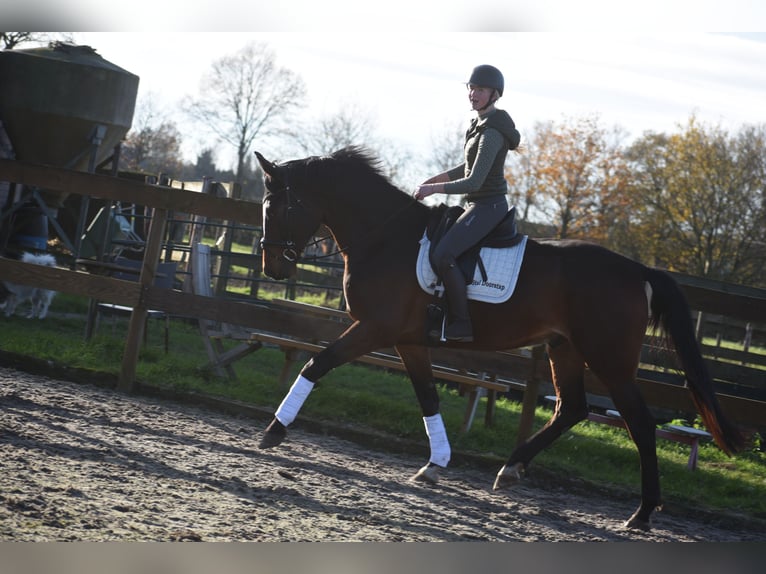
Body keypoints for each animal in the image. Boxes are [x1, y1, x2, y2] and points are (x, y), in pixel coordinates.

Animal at [253, 146, 744, 531]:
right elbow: (427, 396)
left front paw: (274, 431)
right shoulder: (408, 341)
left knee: (639, 423)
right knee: (572, 408)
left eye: (275, 207)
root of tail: (637, 270)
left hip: (609, 359)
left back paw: (641, 514)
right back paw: (510, 470)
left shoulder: (376, 328)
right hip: (564, 348)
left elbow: (317, 363)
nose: (272, 268)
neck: (385, 237)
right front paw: (435, 465)